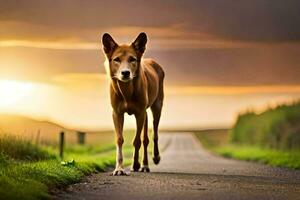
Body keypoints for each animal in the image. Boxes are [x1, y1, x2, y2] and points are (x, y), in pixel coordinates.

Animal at [102, 32, 165, 175]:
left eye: (132, 59)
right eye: (116, 59)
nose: (125, 73)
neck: (127, 92)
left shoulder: (140, 113)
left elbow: (137, 141)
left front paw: (135, 164)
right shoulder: (117, 113)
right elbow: (119, 139)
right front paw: (119, 168)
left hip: (157, 106)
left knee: (154, 134)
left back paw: (152, 159)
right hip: (145, 114)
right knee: (145, 138)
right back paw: (144, 165)